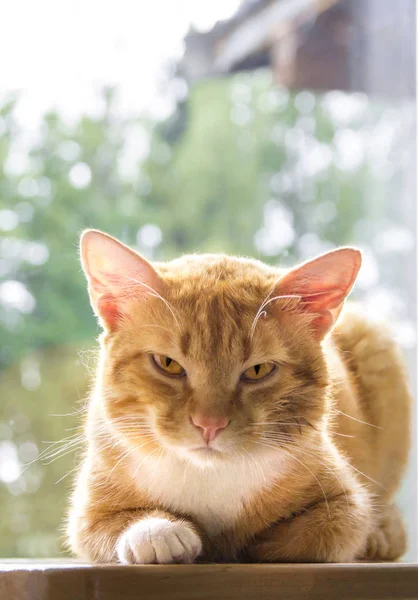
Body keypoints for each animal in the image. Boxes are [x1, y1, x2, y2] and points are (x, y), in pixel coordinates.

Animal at [67, 230, 410, 564]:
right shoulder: (86, 514)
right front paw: (159, 532)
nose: (209, 424)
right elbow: (113, 523)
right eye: (168, 364)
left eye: (258, 370)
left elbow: (323, 532)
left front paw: (245, 544)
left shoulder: (346, 504)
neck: (208, 477)